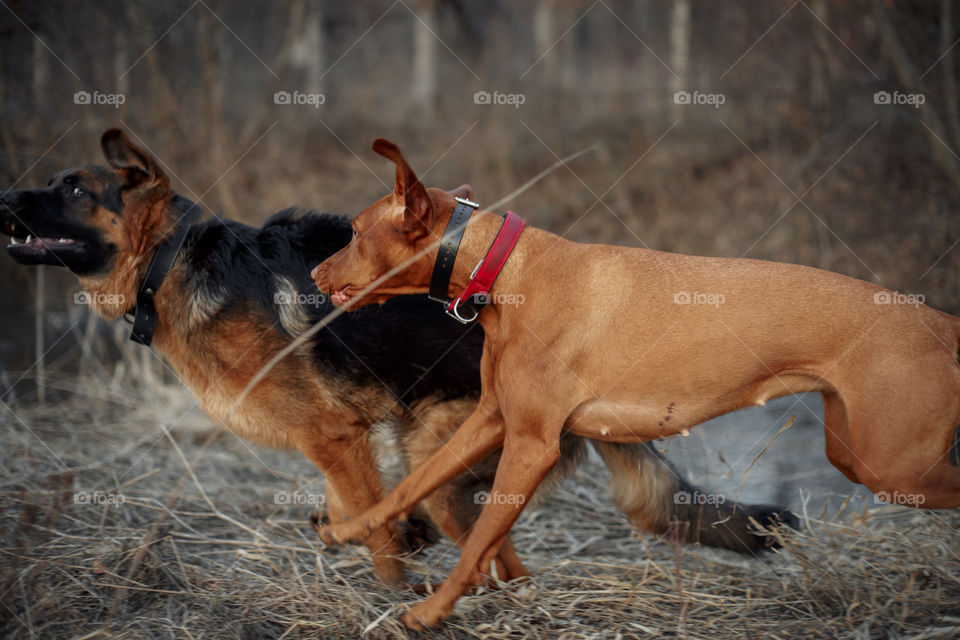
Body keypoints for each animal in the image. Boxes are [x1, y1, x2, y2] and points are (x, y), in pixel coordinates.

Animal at [0, 130, 796, 592]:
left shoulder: (334, 437)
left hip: (439, 448)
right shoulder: (338, 445)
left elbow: (372, 524)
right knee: (500, 559)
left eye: (75, 188)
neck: (174, 262)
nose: (5, 194)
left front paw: (394, 584)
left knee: (490, 551)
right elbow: (355, 507)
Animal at [314, 138, 960, 628]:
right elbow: (411, 485)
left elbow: (477, 540)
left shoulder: (531, 446)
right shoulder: (492, 420)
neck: (506, 272)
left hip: (892, 465)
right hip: (855, 450)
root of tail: (940, 321)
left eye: (353, 233)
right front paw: (348, 529)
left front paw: (429, 614)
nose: (316, 273)